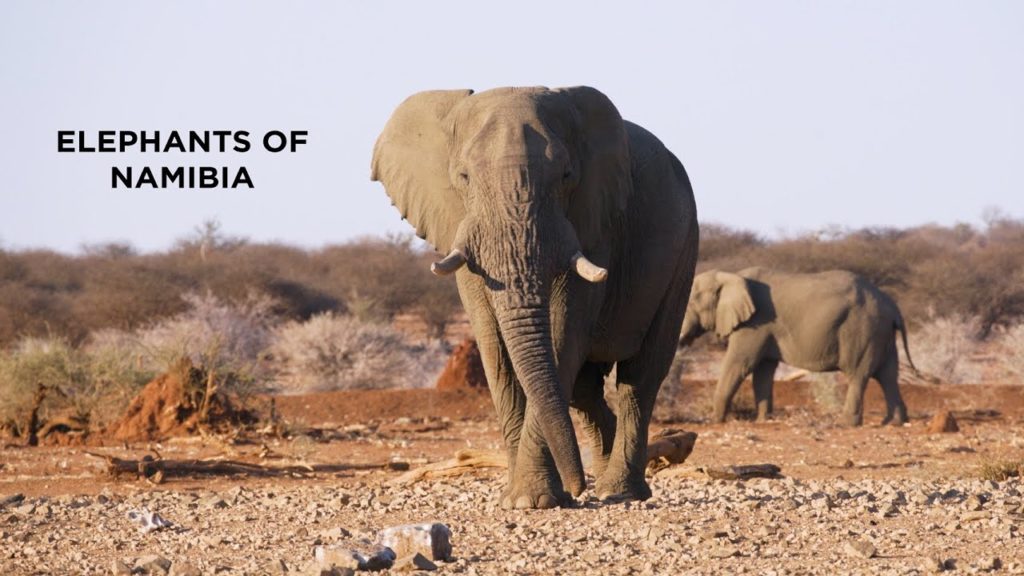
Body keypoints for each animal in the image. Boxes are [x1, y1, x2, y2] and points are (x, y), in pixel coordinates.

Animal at [371, 86, 699, 508]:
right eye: (463, 177)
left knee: (640, 378)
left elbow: (561, 338)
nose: (576, 489)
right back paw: (603, 472)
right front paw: (523, 498)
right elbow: (495, 347)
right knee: (583, 390)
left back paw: (619, 491)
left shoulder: (594, 225)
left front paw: (532, 500)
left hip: (685, 245)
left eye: (566, 176)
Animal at [678, 267, 914, 426]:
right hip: (881, 332)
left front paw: (715, 420)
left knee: (858, 374)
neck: (730, 276)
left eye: (689, 303)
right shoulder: (764, 328)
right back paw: (894, 422)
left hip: (862, 327)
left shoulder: (755, 323)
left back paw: (847, 423)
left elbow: (740, 364)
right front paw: (764, 420)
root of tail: (892, 306)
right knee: (888, 375)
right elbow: (763, 370)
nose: (684, 339)